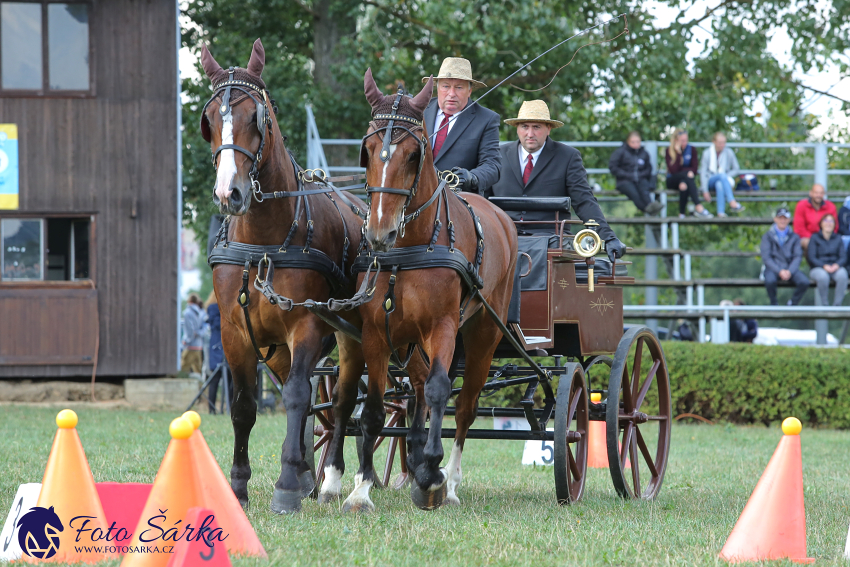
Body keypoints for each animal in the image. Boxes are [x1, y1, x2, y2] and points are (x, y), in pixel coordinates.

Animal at [204, 40, 370, 516]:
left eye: (256, 118)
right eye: (209, 119)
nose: (230, 194)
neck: (265, 241)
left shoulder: (307, 324)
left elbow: (296, 396)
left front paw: (284, 487)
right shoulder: (234, 332)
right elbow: (244, 405)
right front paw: (239, 486)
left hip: (353, 336)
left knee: (345, 401)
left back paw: (332, 478)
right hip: (278, 347)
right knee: (319, 401)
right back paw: (308, 475)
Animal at [318, 69, 516, 512]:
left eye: (413, 154)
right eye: (368, 149)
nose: (379, 232)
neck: (407, 249)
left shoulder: (441, 326)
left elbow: (442, 391)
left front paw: (432, 474)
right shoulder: (376, 332)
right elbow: (373, 410)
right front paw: (361, 489)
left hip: (483, 333)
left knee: (464, 405)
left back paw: (450, 480)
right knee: (416, 389)